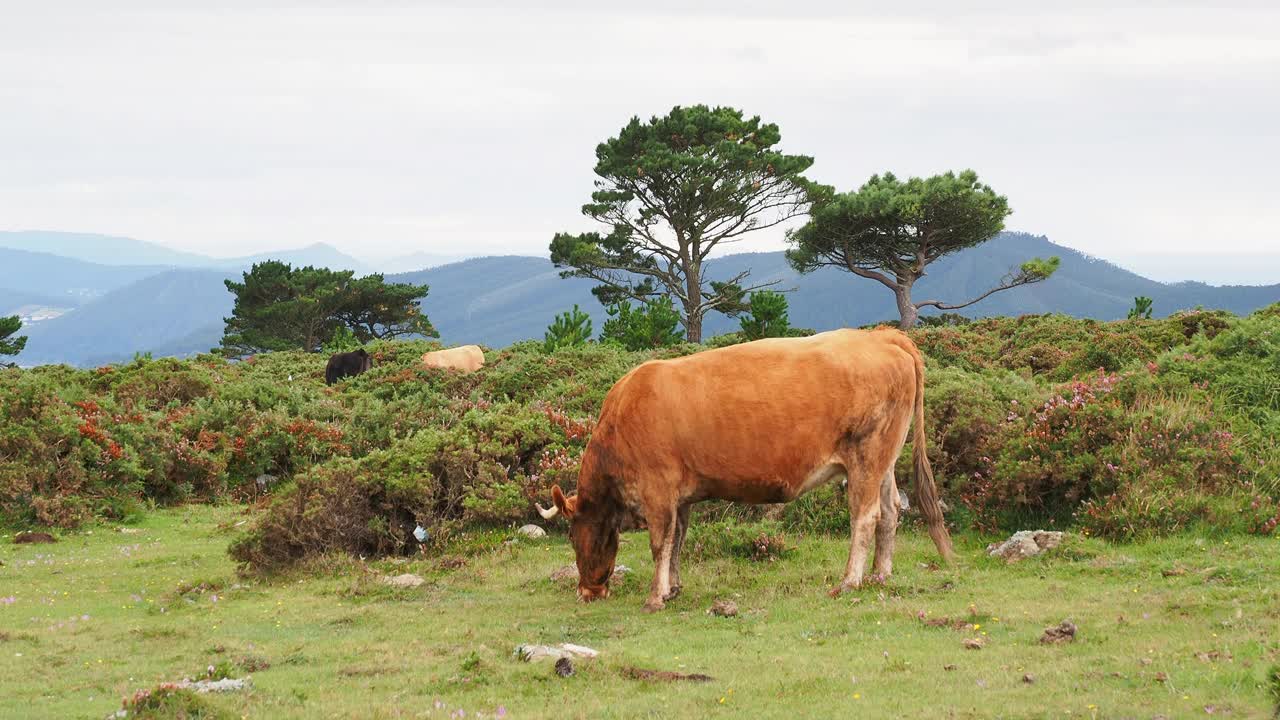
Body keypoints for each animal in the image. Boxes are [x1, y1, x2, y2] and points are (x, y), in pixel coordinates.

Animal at [535, 327, 957, 607]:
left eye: (572, 535)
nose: (587, 591)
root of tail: (883, 336)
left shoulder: (658, 490)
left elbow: (660, 543)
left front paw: (655, 597)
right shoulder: (681, 497)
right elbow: (678, 542)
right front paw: (673, 589)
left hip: (866, 456)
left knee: (866, 516)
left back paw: (849, 582)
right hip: (884, 458)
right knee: (890, 511)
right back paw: (880, 574)